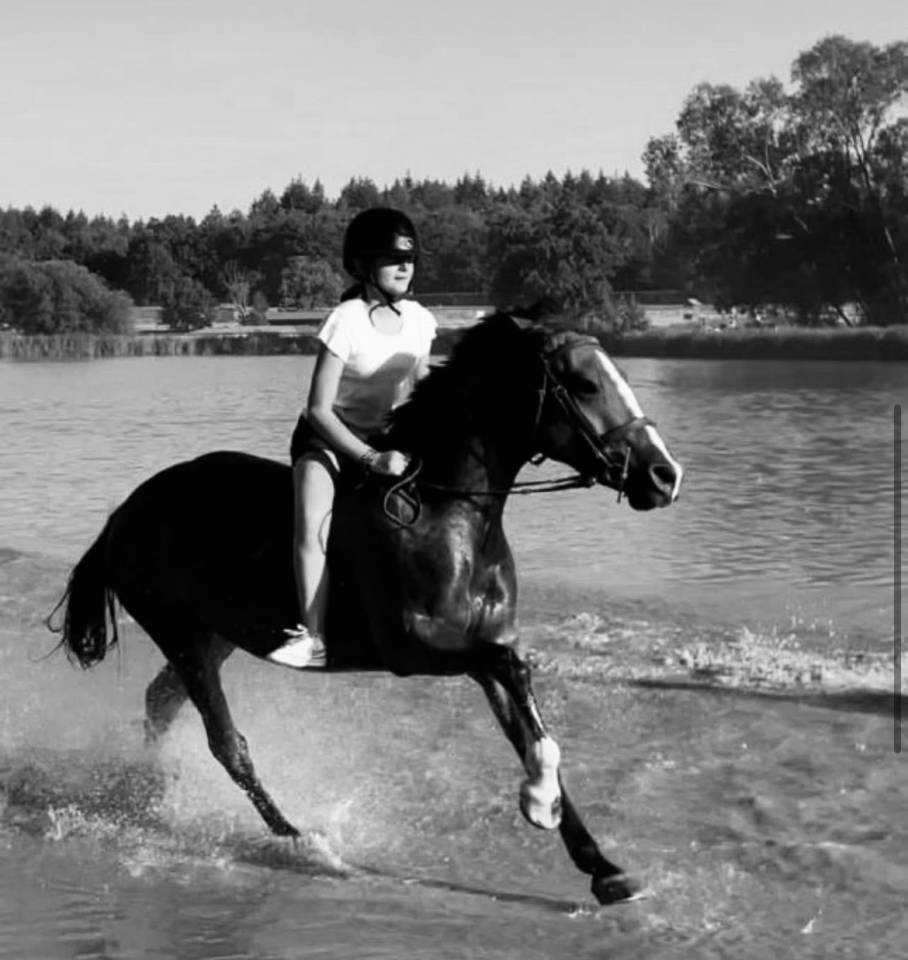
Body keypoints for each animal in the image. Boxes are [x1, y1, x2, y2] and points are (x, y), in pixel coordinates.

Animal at [51, 305, 683, 905]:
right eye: (584, 384)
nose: (664, 476)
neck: (447, 512)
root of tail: (125, 512)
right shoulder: (415, 647)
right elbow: (519, 684)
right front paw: (537, 801)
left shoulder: (484, 651)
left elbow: (530, 726)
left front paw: (603, 868)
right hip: (180, 633)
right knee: (228, 744)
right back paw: (302, 840)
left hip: (212, 636)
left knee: (161, 703)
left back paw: (149, 791)